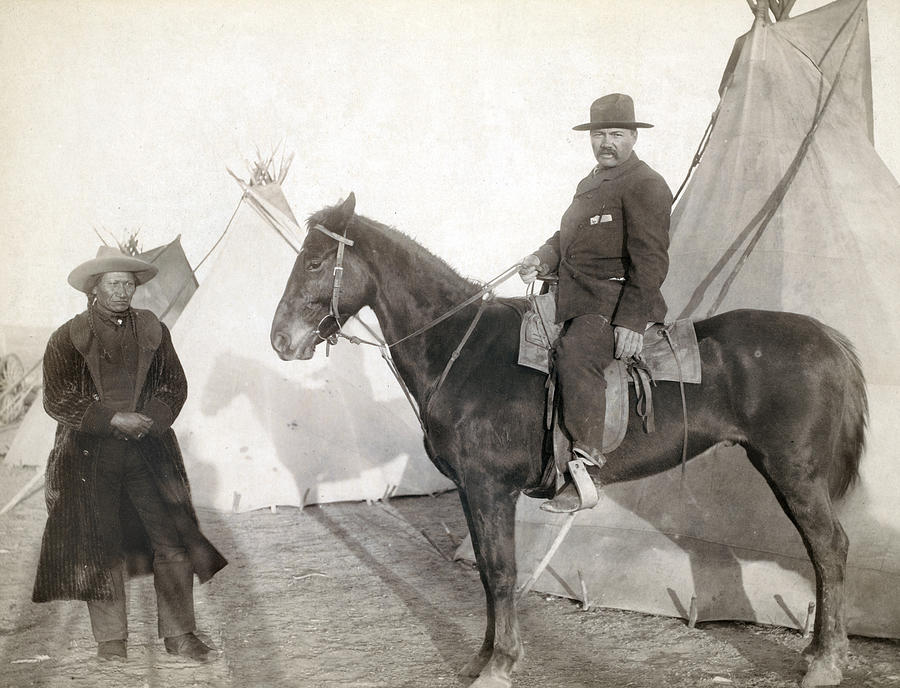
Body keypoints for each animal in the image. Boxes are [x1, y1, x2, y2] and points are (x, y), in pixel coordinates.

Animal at [270, 194, 868, 688]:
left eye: (316, 262)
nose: (280, 340)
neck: (461, 349)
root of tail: (824, 337)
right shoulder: (471, 491)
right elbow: (486, 572)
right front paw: (483, 657)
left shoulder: (490, 488)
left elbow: (502, 571)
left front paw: (500, 664)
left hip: (793, 472)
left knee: (829, 549)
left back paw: (826, 662)